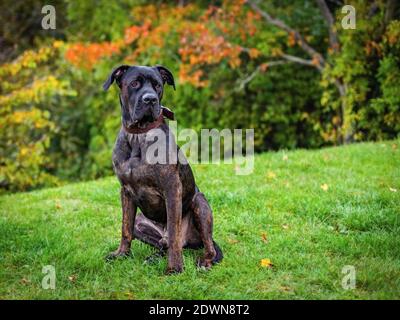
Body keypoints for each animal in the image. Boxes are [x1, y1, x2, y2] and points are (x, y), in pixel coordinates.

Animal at [102, 65, 222, 276]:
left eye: (157, 85)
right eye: (134, 83)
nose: (150, 99)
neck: (139, 135)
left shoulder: (172, 188)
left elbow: (174, 233)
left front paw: (174, 268)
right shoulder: (125, 192)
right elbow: (125, 229)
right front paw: (121, 255)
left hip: (200, 204)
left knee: (202, 245)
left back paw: (204, 262)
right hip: (140, 223)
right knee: (161, 244)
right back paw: (153, 257)